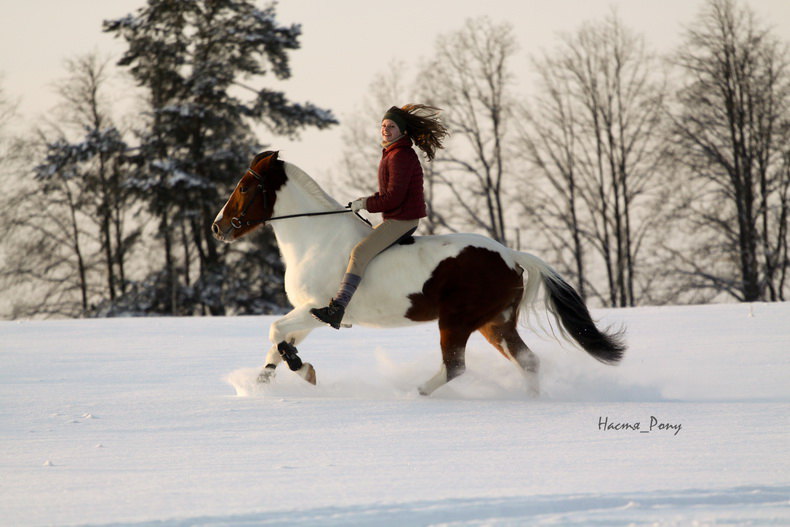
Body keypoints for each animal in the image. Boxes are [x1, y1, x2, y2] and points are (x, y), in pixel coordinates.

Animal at [213, 151, 628, 398]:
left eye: (245, 187)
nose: (218, 228)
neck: (315, 237)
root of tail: (511, 255)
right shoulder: (306, 313)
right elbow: (278, 343)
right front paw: (265, 382)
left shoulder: (316, 310)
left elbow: (276, 333)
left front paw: (304, 371)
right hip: (495, 323)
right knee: (528, 361)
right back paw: (531, 398)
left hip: (458, 322)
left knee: (455, 366)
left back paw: (418, 393)